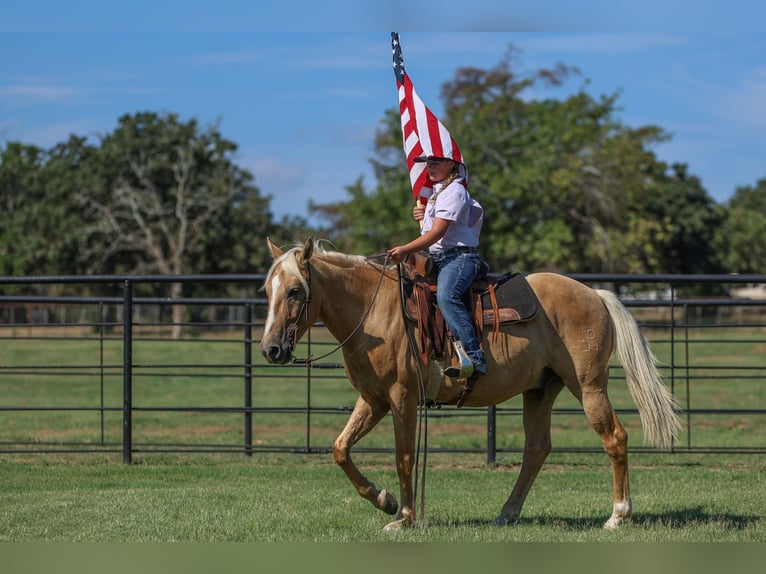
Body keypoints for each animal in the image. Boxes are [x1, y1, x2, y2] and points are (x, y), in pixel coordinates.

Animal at [260, 237, 680, 532]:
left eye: (295, 291)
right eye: (267, 291)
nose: (270, 349)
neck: (373, 310)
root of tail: (596, 294)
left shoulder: (402, 398)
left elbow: (404, 457)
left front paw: (405, 517)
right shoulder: (373, 399)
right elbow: (340, 449)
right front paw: (385, 500)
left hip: (589, 385)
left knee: (615, 438)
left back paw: (618, 515)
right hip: (541, 390)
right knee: (536, 450)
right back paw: (506, 513)